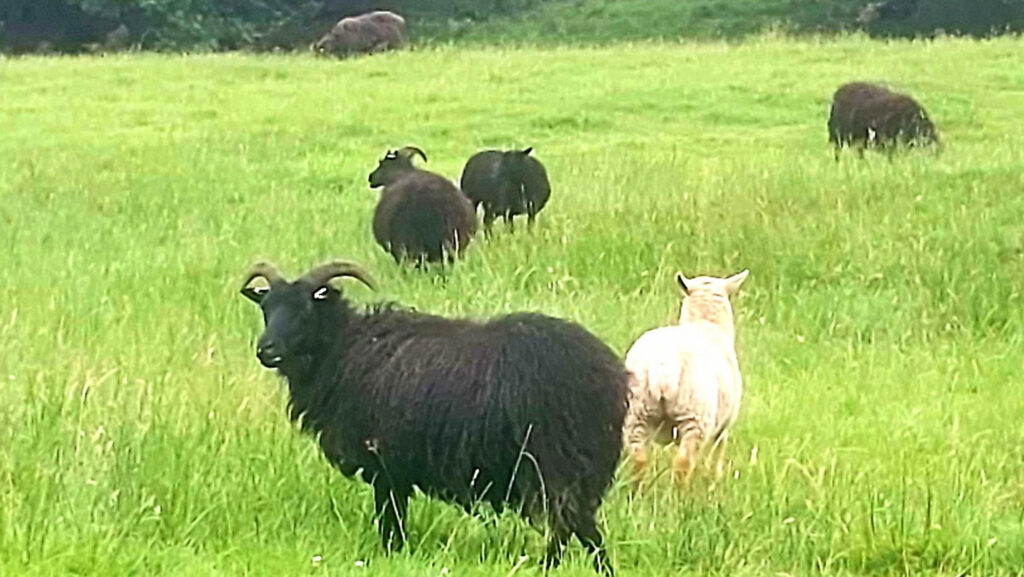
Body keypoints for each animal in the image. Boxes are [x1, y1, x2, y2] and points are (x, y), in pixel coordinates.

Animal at [239, 260, 629, 575]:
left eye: (305, 309)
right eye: (267, 309)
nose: (265, 350)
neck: (342, 348)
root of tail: (608, 377)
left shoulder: (386, 468)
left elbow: (391, 525)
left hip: (555, 463)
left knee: (570, 526)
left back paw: (549, 567)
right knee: (579, 527)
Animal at [623, 270, 749, 485]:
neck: (706, 325)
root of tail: (663, 365)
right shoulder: (724, 426)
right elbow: (717, 455)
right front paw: (714, 481)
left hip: (636, 415)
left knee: (638, 461)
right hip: (694, 418)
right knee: (683, 463)